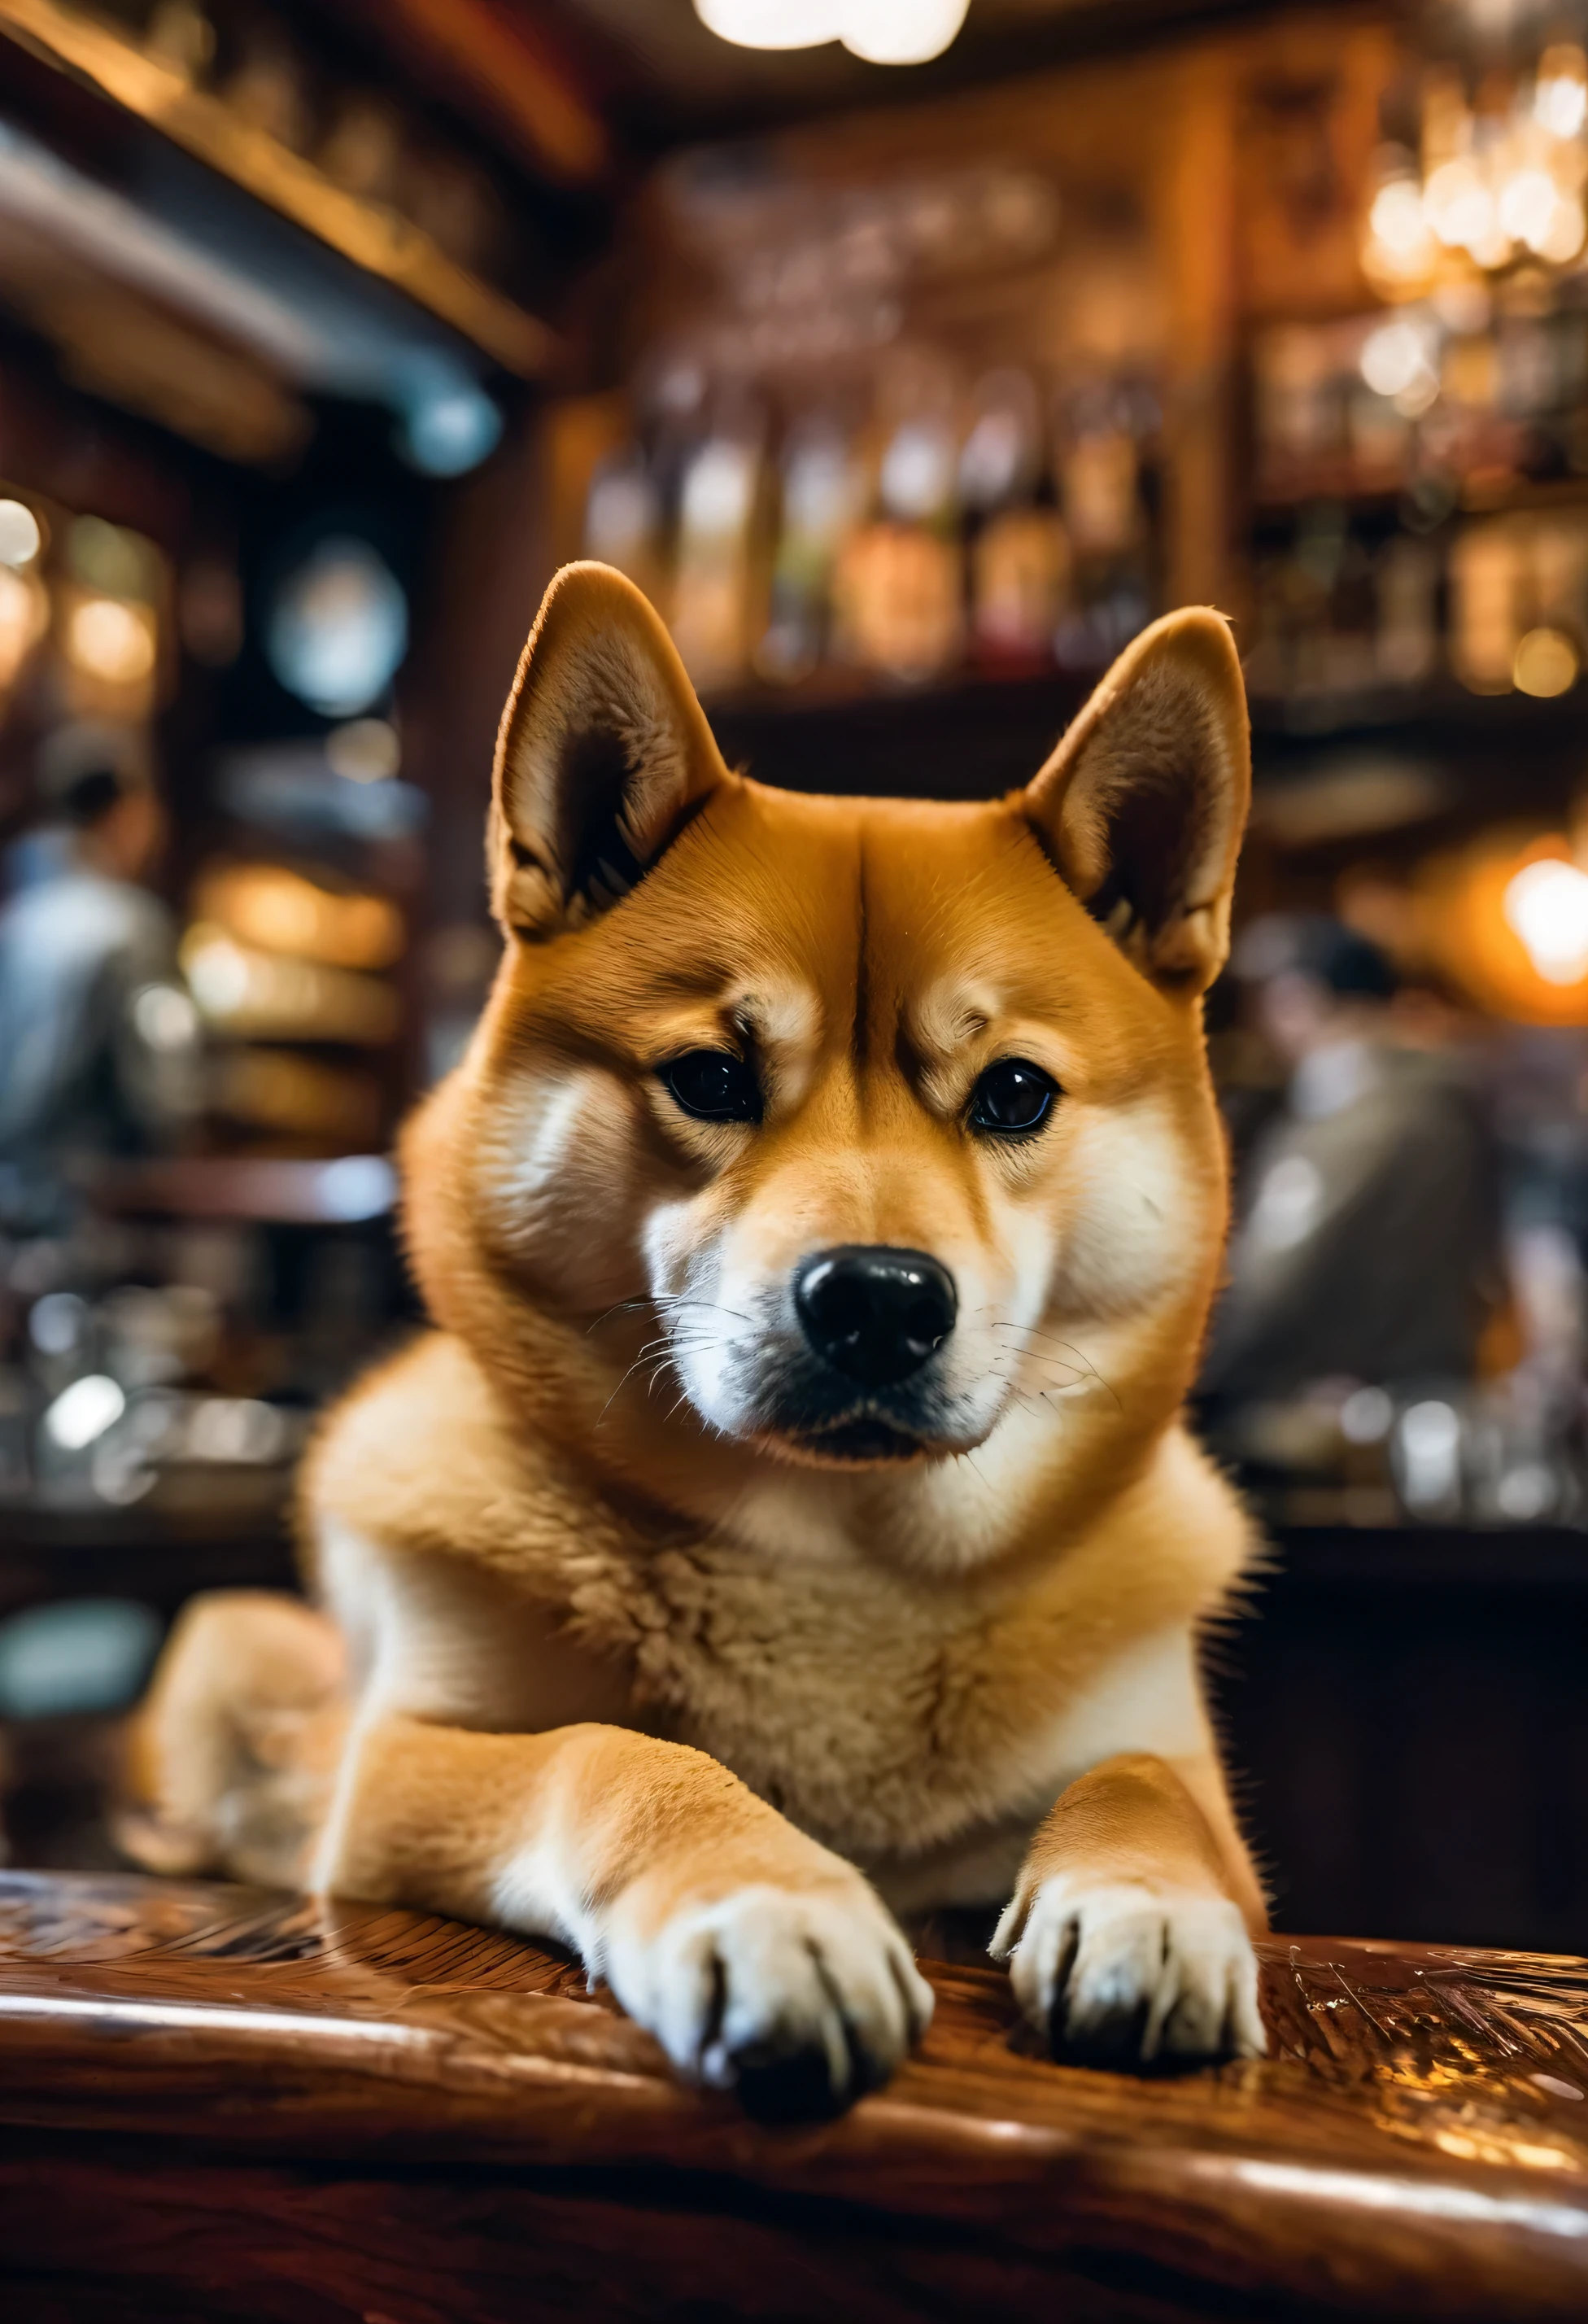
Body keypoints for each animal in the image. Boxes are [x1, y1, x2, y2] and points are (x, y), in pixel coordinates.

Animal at [124, 557, 1264, 2110]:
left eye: (1016, 1093)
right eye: (712, 1078)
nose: (878, 1299)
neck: (837, 1565)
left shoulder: (1178, 1765)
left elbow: (1140, 1789)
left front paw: (1144, 1902)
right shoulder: (408, 1764)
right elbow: (607, 1754)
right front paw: (767, 1904)